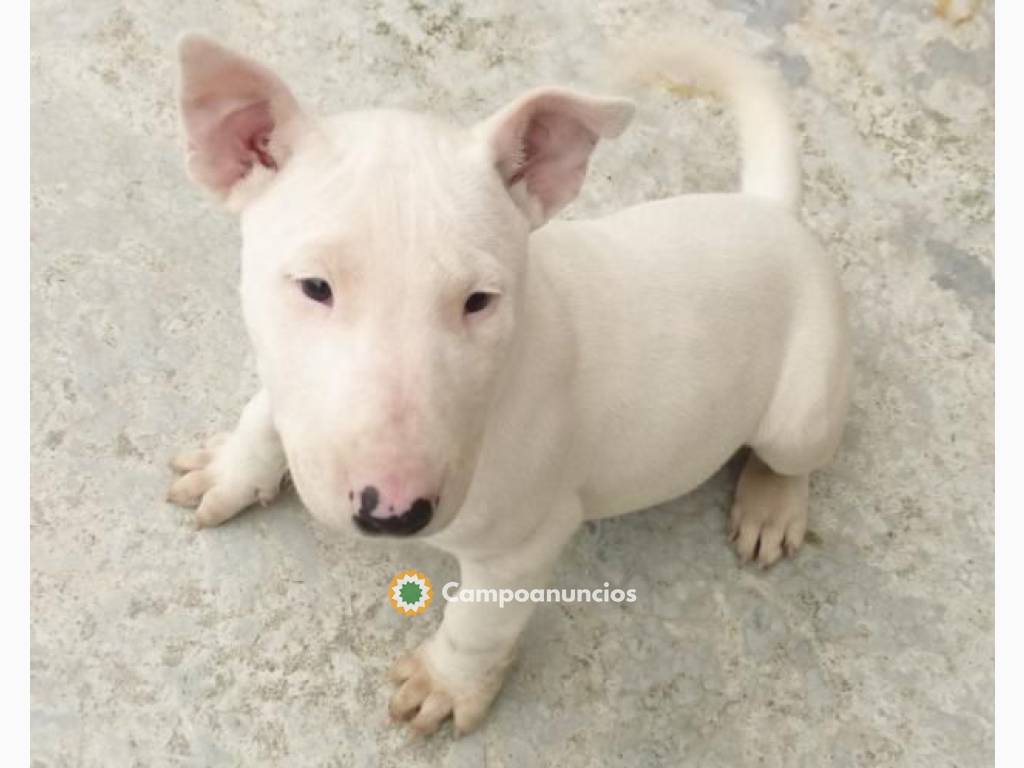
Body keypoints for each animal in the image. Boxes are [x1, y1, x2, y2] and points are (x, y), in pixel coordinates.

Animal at [169, 33, 847, 737]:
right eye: (314, 286)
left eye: (479, 301)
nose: (394, 514)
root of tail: (772, 212)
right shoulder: (288, 379)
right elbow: (265, 412)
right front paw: (230, 470)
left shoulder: (527, 537)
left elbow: (481, 621)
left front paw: (445, 684)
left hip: (802, 403)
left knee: (799, 453)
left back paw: (772, 505)